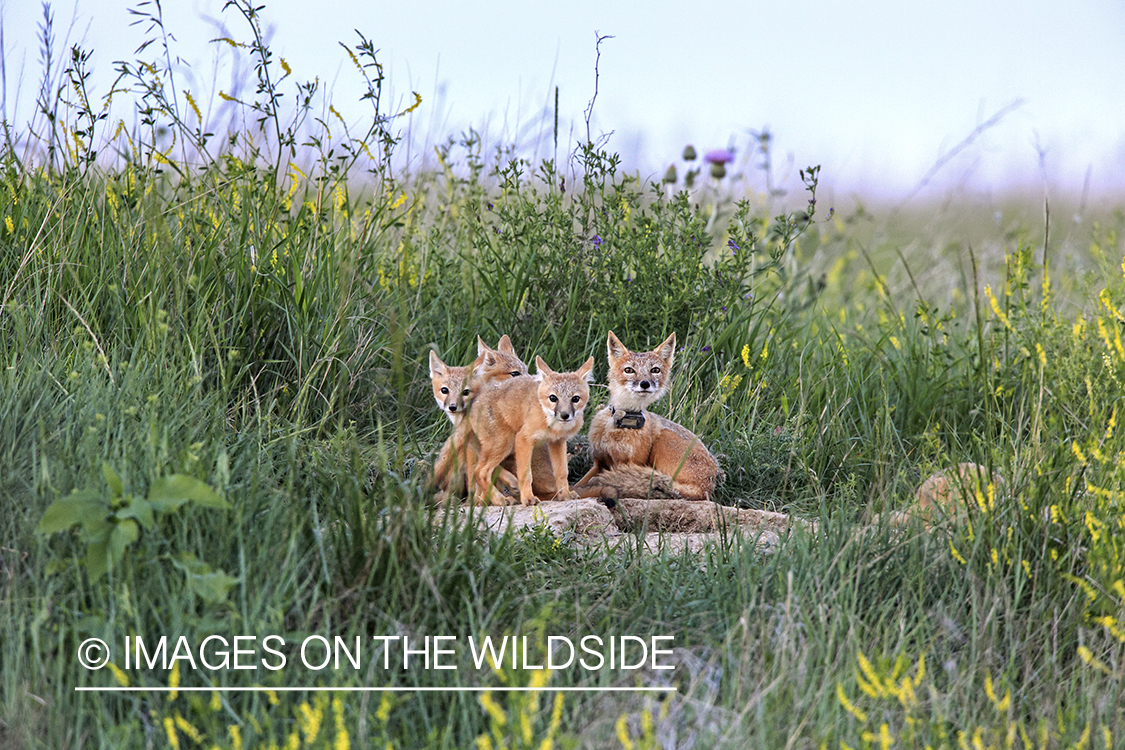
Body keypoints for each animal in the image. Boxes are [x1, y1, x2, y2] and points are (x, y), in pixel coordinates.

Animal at [468, 355, 594, 507]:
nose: (564, 415)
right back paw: (499, 499)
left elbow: (561, 473)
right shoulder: (523, 439)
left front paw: (565, 495)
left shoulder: (557, 442)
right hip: (504, 444)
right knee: (480, 472)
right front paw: (528, 498)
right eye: (553, 398)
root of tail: (474, 404)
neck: (552, 424)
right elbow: (526, 474)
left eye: (575, 399)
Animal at [574, 331, 721, 501]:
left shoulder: (628, 462)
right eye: (629, 370)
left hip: (664, 439)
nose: (645, 383)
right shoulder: (599, 462)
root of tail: (706, 488)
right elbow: (577, 485)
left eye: (655, 370)